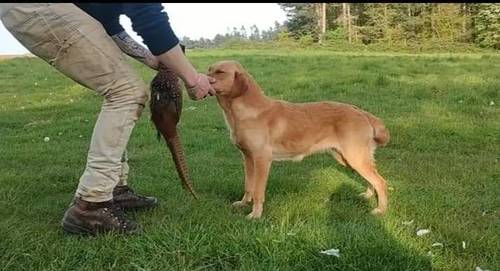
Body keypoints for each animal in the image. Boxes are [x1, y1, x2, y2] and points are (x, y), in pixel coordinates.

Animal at [207, 60, 390, 220]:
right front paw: (244, 203)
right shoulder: (248, 158)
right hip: (349, 159)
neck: (246, 112)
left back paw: (380, 210)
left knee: (380, 181)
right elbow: (248, 186)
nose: (204, 78)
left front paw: (255, 215)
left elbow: (258, 191)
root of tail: (362, 112)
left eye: (220, 72)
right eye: (210, 70)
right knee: (371, 179)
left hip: (355, 157)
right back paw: (367, 196)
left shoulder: (262, 159)